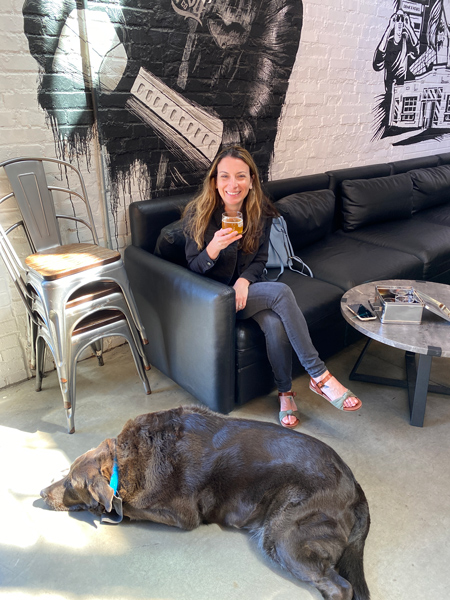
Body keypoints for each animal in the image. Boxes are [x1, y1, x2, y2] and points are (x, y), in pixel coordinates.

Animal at [41, 406, 370, 596]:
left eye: (71, 485)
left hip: (284, 537)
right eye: (67, 477)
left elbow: (130, 508)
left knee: (340, 586)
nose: (41, 494)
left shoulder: (182, 515)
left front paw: (107, 510)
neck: (125, 462)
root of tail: (355, 485)